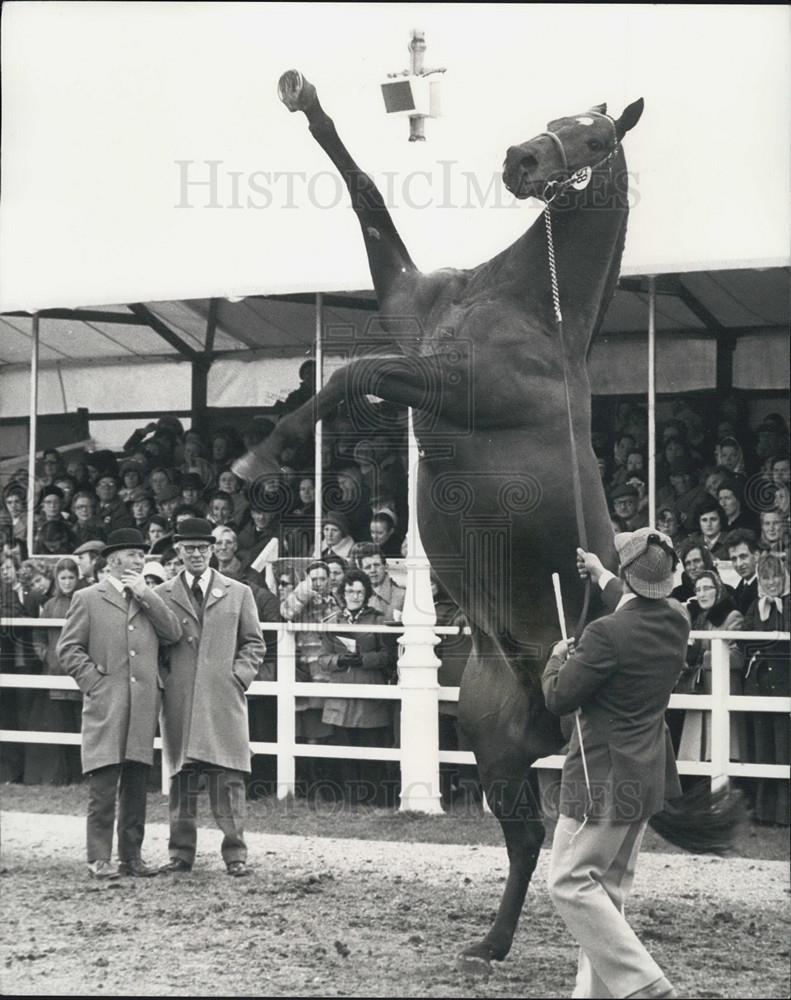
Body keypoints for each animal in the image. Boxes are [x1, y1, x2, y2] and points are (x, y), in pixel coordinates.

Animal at [237, 76, 736, 968]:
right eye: (559, 117)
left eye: (598, 136)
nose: (521, 159)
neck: (524, 307)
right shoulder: (407, 309)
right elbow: (365, 194)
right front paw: (304, 97)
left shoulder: (444, 381)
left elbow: (354, 374)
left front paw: (262, 459)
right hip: (493, 742)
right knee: (529, 841)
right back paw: (491, 944)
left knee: (577, 840)